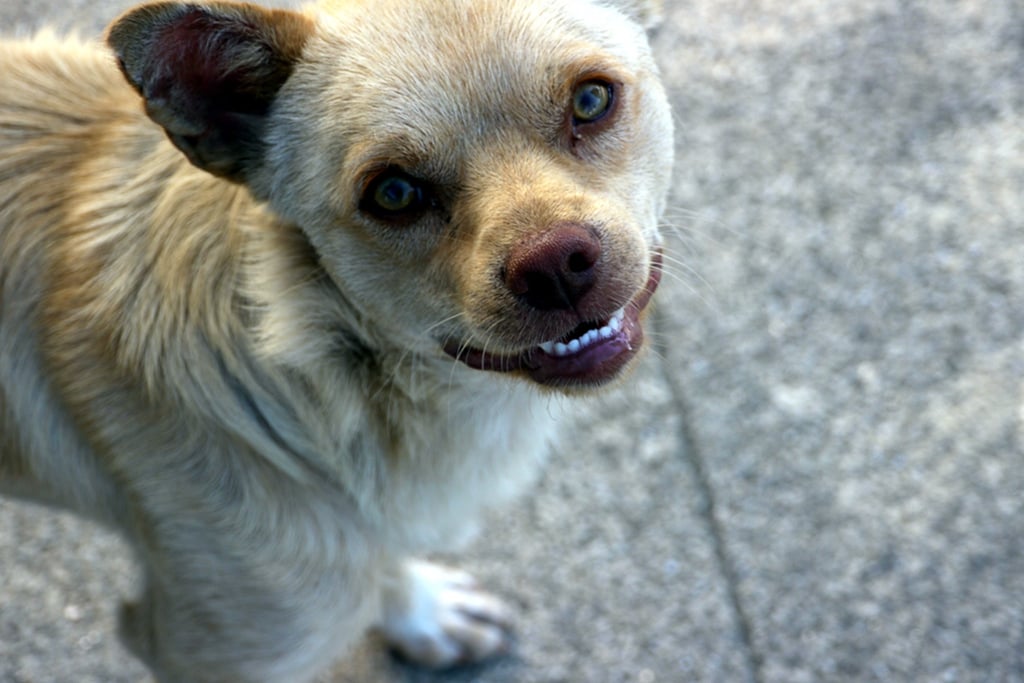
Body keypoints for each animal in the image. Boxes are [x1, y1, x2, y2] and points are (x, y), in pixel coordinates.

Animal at [0, 1, 675, 679]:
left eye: (590, 100)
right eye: (394, 194)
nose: (555, 266)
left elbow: (383, 559)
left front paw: (421, 614)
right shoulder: (221, 654)